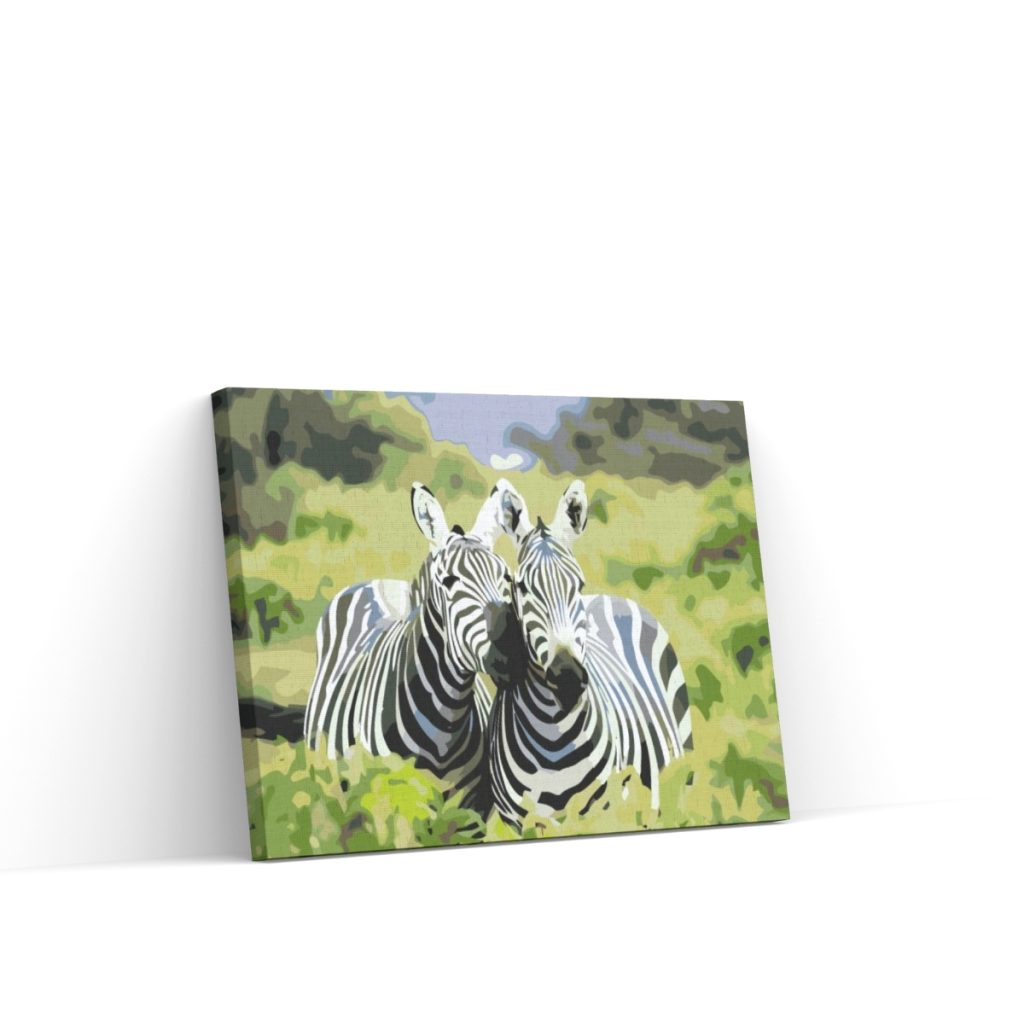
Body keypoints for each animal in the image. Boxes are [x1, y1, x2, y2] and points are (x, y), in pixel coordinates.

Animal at [303, 482, 526, 815]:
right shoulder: (388, 801)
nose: (514, 650)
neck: (445, 723)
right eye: (449, 581)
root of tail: (379, 582)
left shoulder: (470, 812)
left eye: (507, 578)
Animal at [487, 480, 692, 829]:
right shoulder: (519, 821)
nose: (567, 677)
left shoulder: (604, 813)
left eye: (578, 584)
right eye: (522, 587)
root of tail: (610, 597)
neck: (554, 736)